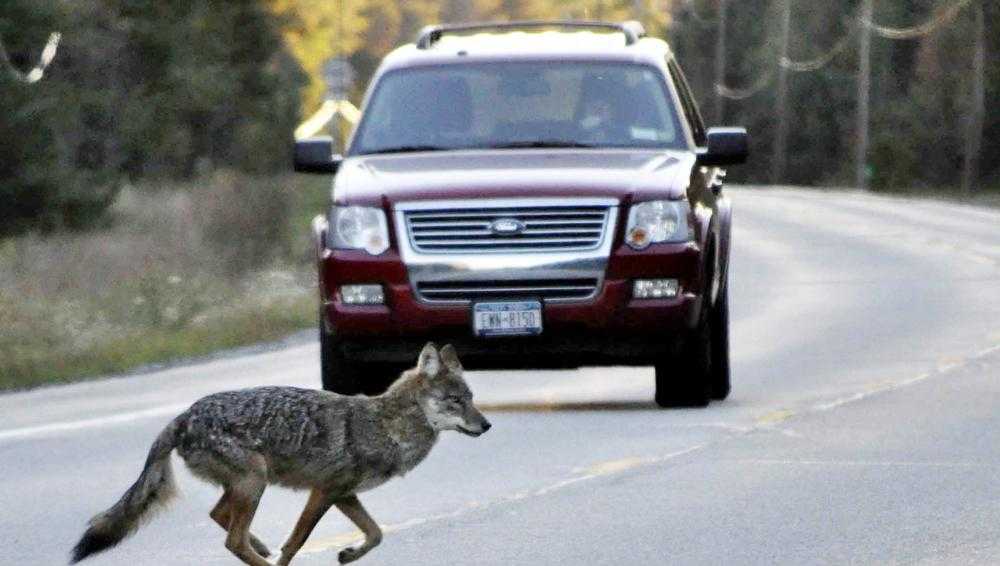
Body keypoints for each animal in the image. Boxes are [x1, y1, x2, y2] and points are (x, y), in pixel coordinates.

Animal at [70, 342, 490, 565]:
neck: (385, 425)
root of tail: (185, 415)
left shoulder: (344, 495)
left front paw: (348, 554)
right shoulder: (323, 492)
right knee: (232, 540)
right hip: (254, 482)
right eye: (455, 402)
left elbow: (375, 534)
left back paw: (259, 546)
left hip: (248, 485)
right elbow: (297, 541)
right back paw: (259, 556)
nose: (487, 425)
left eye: (471, 399)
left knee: (220, 518)